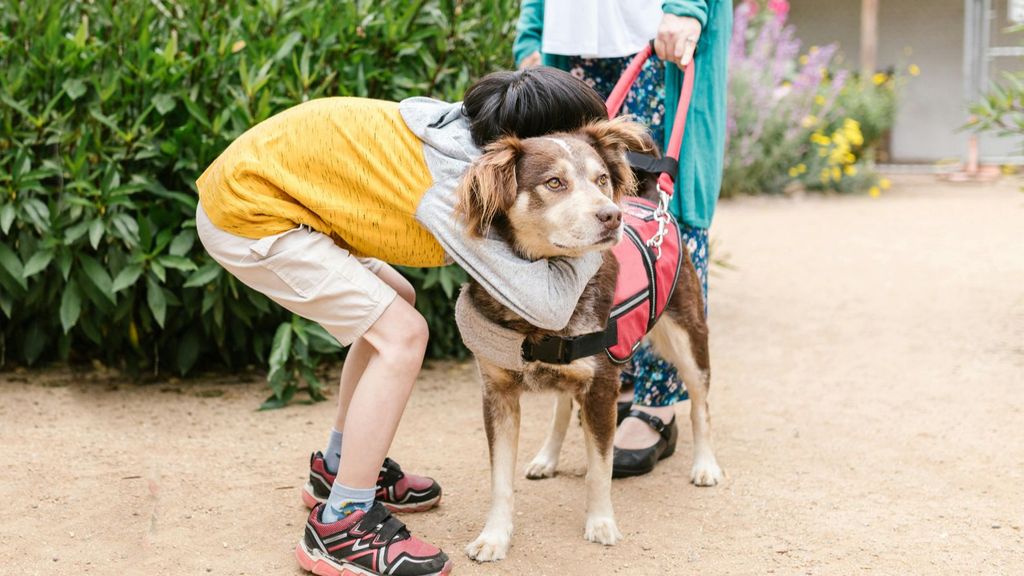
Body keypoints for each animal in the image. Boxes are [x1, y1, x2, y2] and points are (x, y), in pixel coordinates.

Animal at [452, 117, 724, 561]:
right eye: (554, 182)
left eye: (601, 180)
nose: (612, 216)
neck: (545, 296)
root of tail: (653, 205)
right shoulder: (497, 392)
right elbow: (499, 480)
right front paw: (494, 536)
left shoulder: (602, 387)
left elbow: (601, 468)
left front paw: (600, 523)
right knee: (563, 404)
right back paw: (546, 458)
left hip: (688, 338)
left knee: (700, 403)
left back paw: (705, 465)